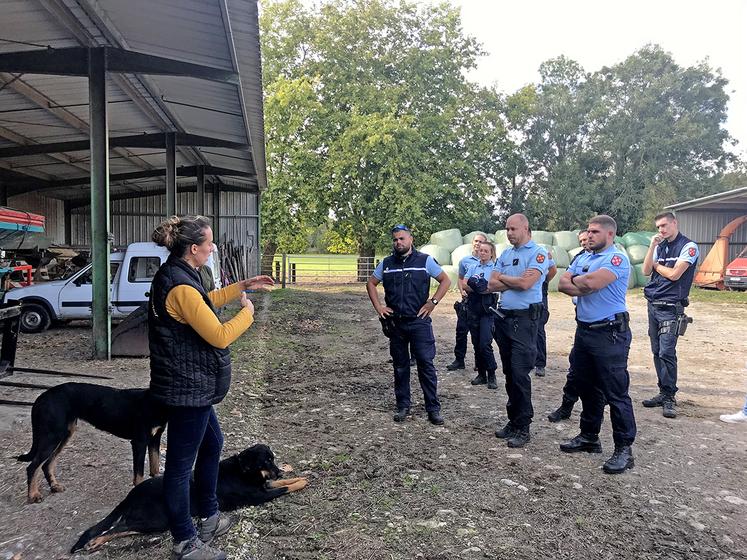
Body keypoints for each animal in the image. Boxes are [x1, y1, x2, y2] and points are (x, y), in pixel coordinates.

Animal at [68, 444, 306, 552]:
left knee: (124, 527)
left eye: (272, 459)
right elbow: (285, 488)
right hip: (156, 519)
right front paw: (301, 482)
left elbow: (284, 483)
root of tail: (133, 493)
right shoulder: (258, 496)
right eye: (265, 461)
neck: (243, 470)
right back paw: (95, 541)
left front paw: (301, 477)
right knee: (119, 527)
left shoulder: (264, 485)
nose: (279, 471)